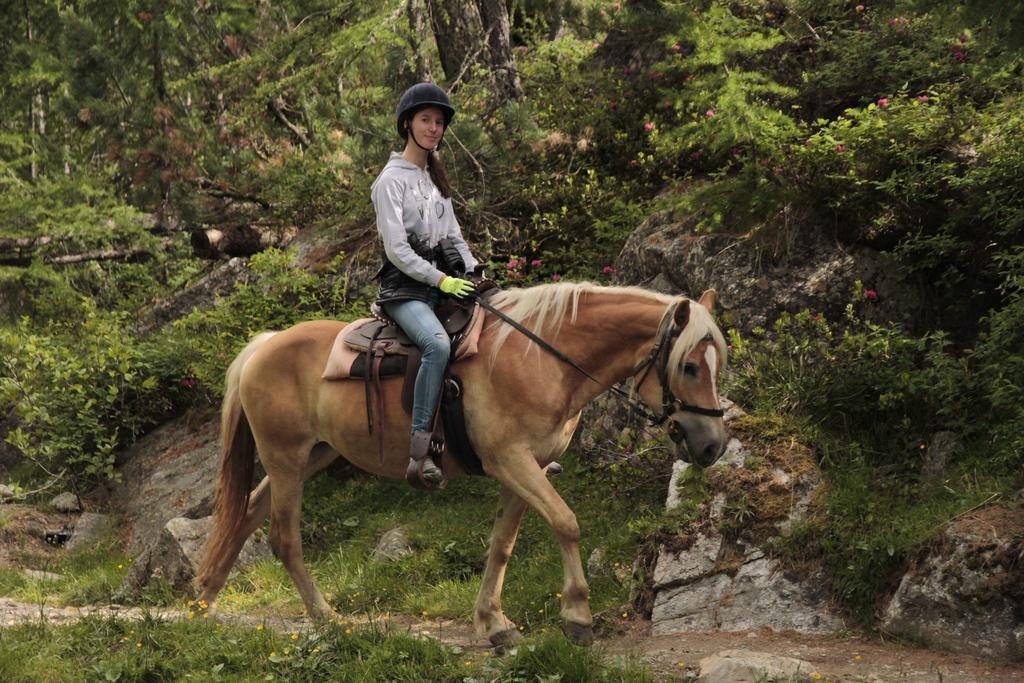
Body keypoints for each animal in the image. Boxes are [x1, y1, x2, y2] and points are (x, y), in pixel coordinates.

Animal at [193, 280, 729, 651]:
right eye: (688, 366)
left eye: (715, 363)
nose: (713, 446)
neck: (540, 359)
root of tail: (265, 344)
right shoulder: (512, 461)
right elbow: (567, 523)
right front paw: (577, 618)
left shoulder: (527, 469)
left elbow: (502, 545)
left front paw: (494, 625)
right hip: (286, 459)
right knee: (284, 538)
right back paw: (325, 618)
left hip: (311, 457)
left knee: (247, 514)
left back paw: (204, 600)